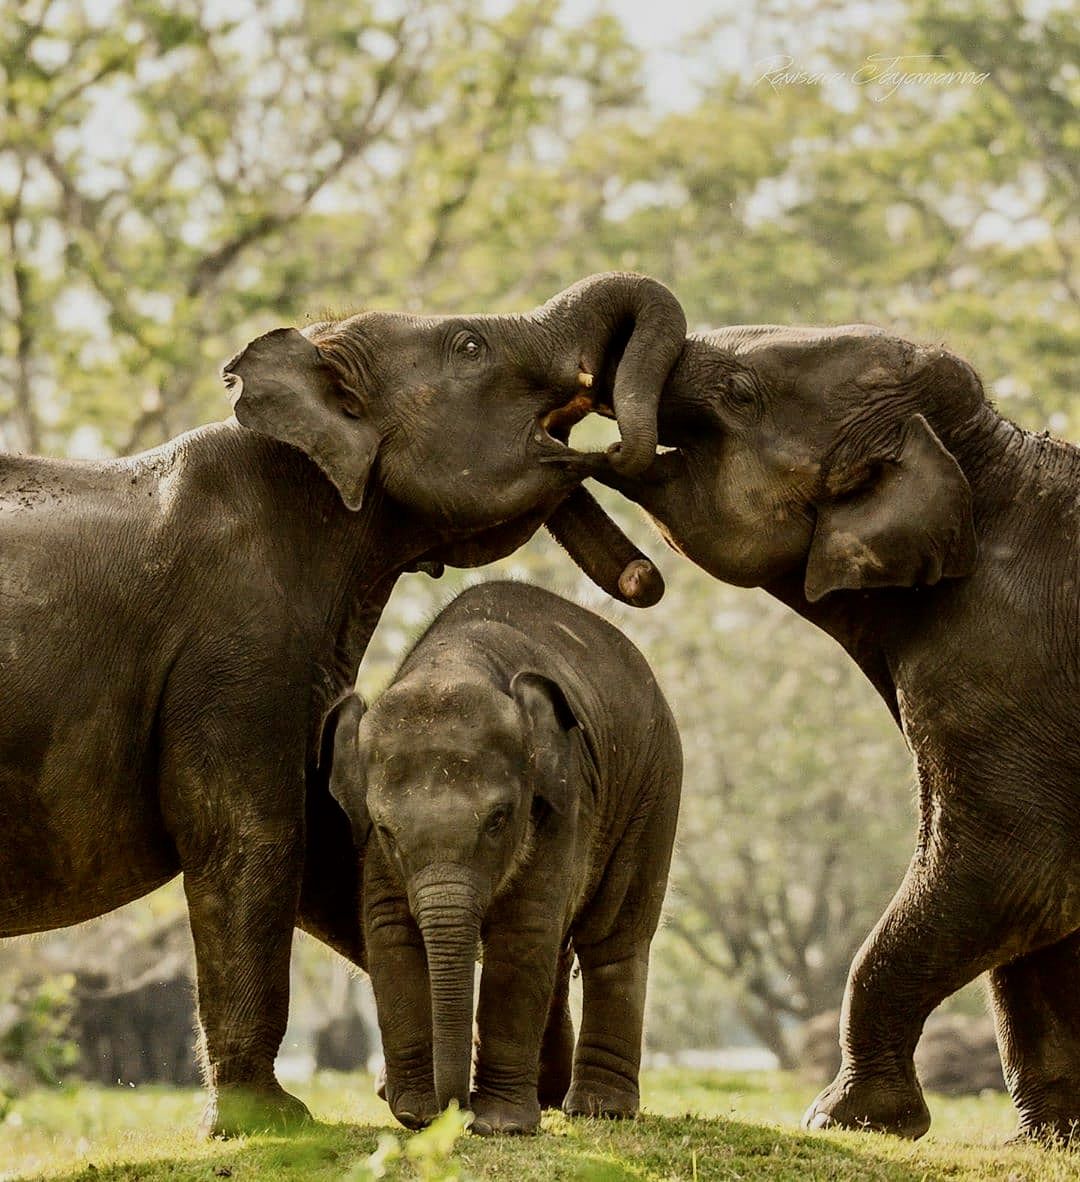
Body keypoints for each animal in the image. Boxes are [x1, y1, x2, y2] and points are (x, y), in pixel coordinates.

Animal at [326, 580, 682, 1135]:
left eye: (498, 819)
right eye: (385, 828)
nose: (455, 1107)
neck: (455, 662)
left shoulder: (564, 796)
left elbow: (522, 929)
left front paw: (498, 1125)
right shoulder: (369, 844)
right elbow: (390, 932)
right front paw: (415, 1113)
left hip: (655, 785)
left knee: (614, 938)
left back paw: (599, 1109)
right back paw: (552, 1094)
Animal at [585, 323, 1080, 1142]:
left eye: (740, 393)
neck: (983, 455)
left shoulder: (1004, 655)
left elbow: (1015, 865)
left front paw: (848, 1119)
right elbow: (1043, 913)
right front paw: (1047, 1139)